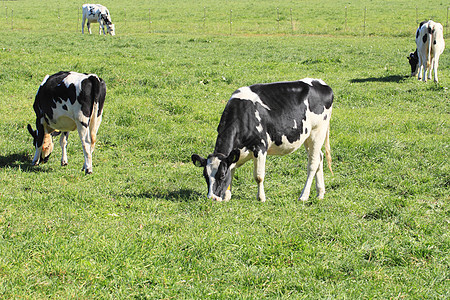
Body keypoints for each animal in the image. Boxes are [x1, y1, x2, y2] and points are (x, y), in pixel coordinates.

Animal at [192, 78, 332, 203]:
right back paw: (320, 193)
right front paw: (227, 196)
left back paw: (304, 196)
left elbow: (259, 176)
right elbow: (231, 170)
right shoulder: (235, 154)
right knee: (319, 157)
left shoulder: (260, 147)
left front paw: (261, 198)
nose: (212, 198)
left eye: (221, 175)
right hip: (308, 136)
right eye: (205, 175)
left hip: (317, 131)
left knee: (313, 164)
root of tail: (321, 83)